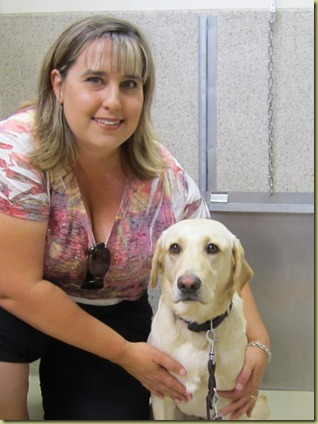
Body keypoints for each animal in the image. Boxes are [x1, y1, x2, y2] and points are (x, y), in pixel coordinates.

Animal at [148, 219, 270, 420]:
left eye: (212, 248)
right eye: (174, 248)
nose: (187, 284)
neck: (196, 325)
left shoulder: (229, 403)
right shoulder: (162, 396)